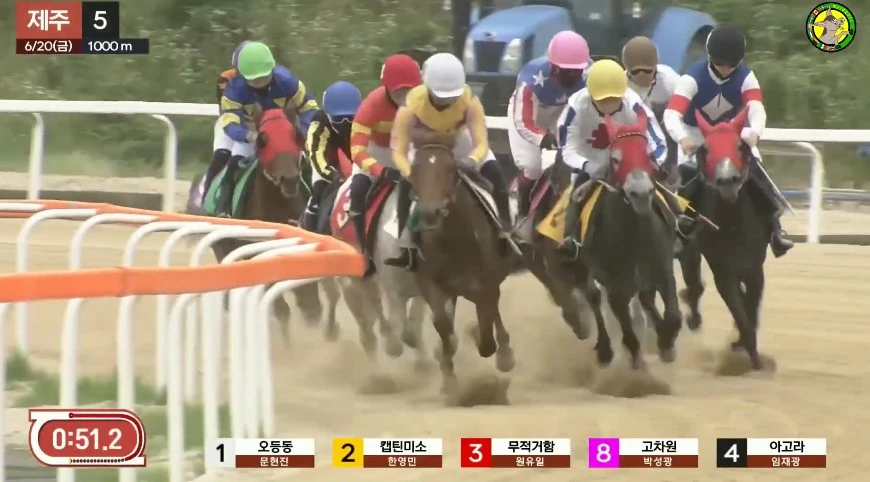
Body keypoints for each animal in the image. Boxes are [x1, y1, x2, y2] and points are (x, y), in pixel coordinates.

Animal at [186, 106, 341, 342]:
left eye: (296, 135)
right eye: (263, 139)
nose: (289, 179)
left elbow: (313, 301)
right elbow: (282, 307)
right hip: (223, 247)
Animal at [405, 133, 516, 393]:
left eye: (449, 169)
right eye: (415, 169)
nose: (431, 212)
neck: (454, 239)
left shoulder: (485, 283)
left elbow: (486, 338)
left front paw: (486, 342)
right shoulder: (430, 282)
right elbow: (442, 324)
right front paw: (449, 380)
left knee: (492, 313)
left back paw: (504, 353)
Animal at [567, 109, 682, 369]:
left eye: (648, 154)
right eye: (616, 159)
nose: (640, 193)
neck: (635, 234)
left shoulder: (662, 268)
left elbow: (673, 314)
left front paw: (666, 343)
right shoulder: (614, 282)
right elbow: (622, 319)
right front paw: (634, 352)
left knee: (645, 298)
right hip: (584, 268)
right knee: (593, 296)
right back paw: (604, 349)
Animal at [677, 108, 771, 370]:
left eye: (739, 145)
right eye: (706, 149)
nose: (727, 180)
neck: (733, 225)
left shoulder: (754, 269)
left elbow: (750, 308)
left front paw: (743, 345)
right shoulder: (723, 273)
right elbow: (740, 312)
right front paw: (752, 357)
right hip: (690, 248)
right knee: (694, 283)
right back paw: (693, 317)